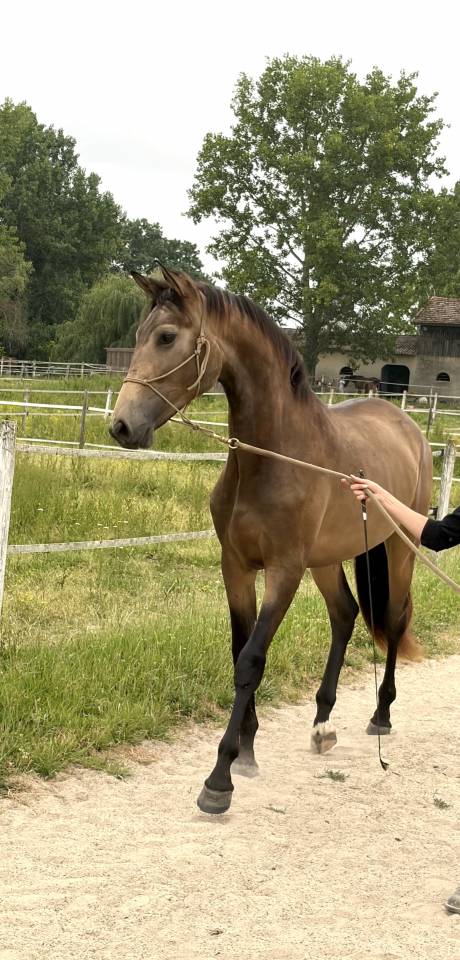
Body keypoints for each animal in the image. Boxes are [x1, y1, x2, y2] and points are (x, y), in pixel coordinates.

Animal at [110, 267, 432, 815]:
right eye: (138, 335)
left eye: (167, 337)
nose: (121, 426)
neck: (273, 456)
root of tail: (410, 426)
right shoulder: (236, 566)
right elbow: (238, 650)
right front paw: (246, 751)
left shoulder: (284, 571)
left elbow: (252, 660)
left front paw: (220, 778)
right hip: (326, 561)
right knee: (345, 614)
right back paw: (322, 724)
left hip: (396, 550)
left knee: (391, 619)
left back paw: (381, 715)